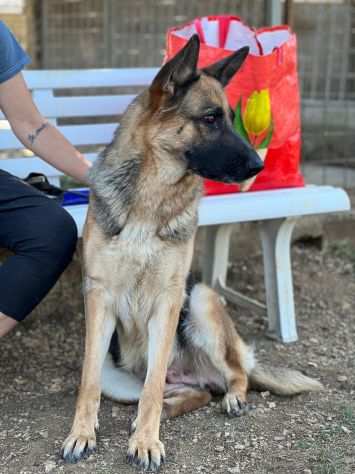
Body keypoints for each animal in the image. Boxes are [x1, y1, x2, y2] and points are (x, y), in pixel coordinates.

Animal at [62, 36, 324, 470]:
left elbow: (152, 388)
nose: (260, 165)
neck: (151, 196)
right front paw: (82, 434)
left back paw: (228, 399)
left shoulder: (169, 300)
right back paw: (164, 409)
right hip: (122, 377)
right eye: (211, 118)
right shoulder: (99, 297)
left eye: (231, 117)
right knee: (189, 393)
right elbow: (89, 382)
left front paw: (146, 442)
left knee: (230, 377)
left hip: (201, 299)